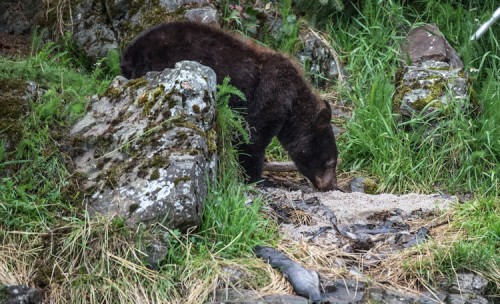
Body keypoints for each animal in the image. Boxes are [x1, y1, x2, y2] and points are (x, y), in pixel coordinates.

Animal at [121, 21, 338, 190]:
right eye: (330, 162)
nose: (331, 185)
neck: (293, 104)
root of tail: (129, 53)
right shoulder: (273, 94)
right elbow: (252, 136)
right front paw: (254, 177)